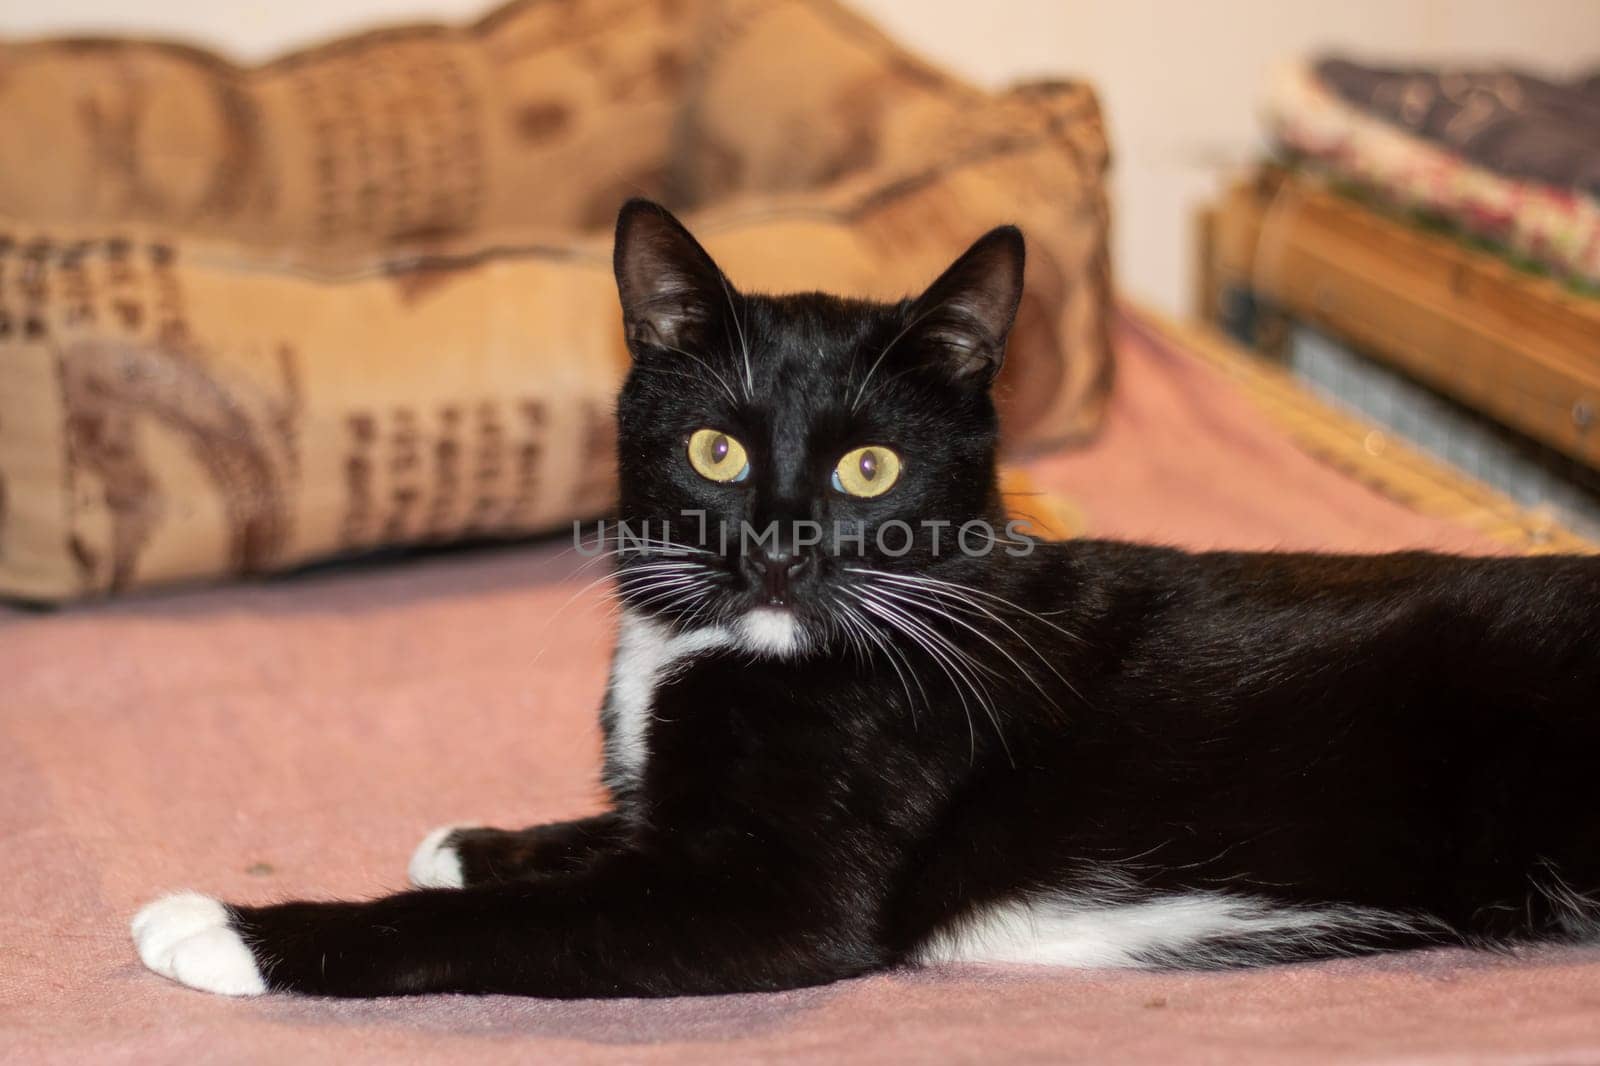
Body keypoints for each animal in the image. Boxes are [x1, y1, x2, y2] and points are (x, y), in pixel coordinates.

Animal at [128, 199, 1600, 998]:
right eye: (717, 448)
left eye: (869, 466)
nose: (780, 544)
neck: (738, 641)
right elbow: (611, 835)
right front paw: (485, 835)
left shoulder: (780, 891)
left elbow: (509, 921)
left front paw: (230, 929)